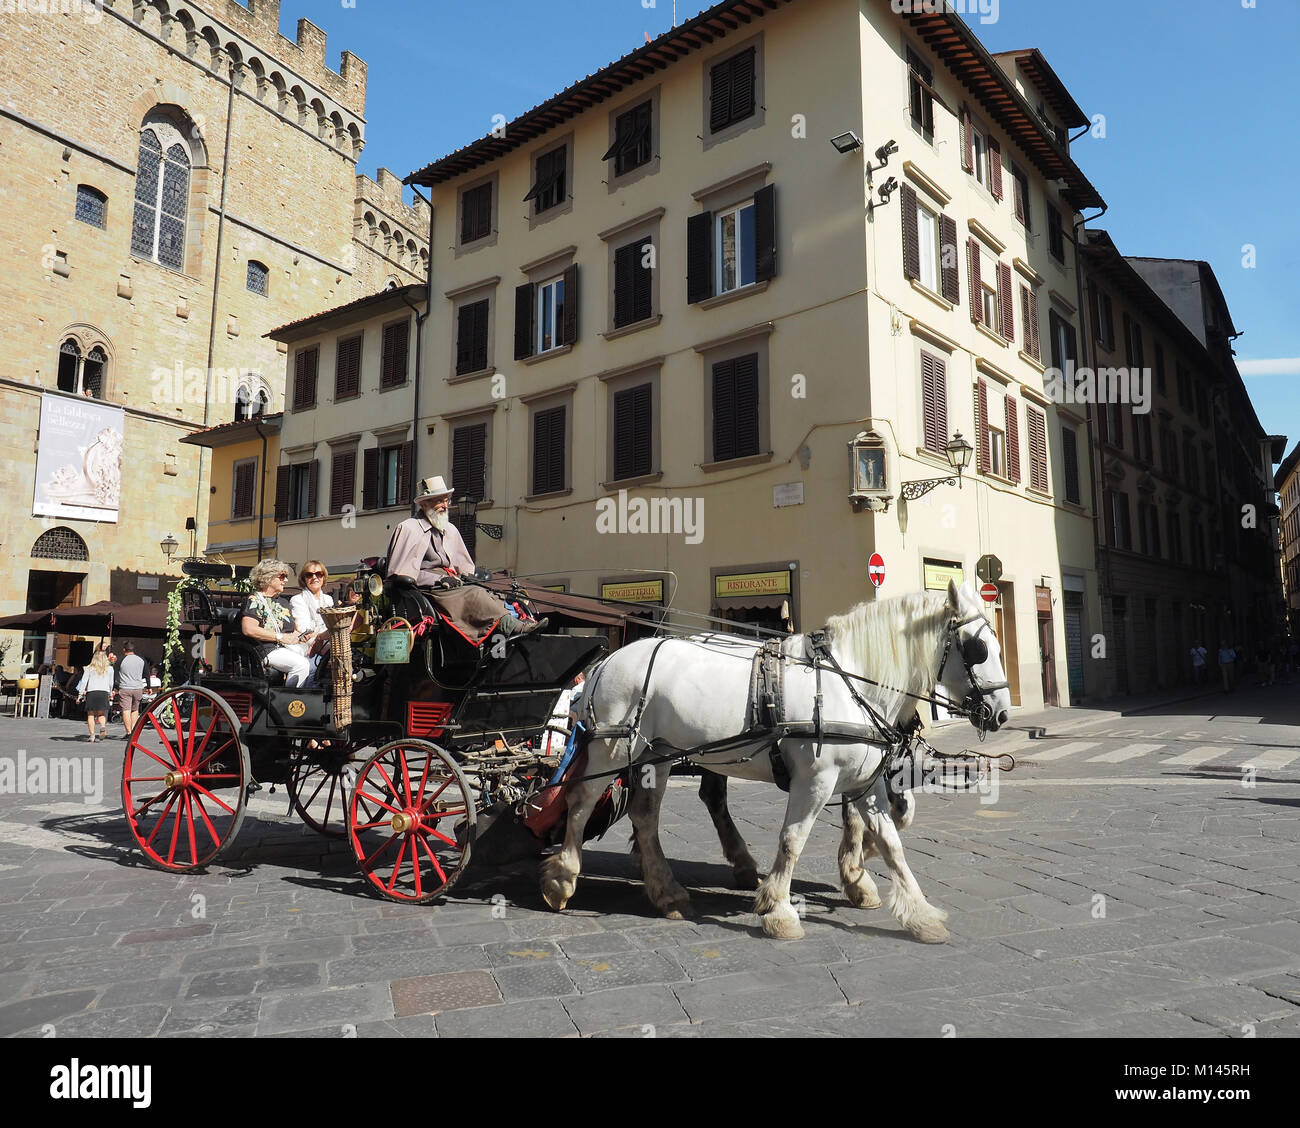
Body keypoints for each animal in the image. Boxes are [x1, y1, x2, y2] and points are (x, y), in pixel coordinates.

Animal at [540, 582, 1013, 940]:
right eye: (977, 648)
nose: (1002, 713)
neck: (850, 683)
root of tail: (606, 661)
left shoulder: (866, 783)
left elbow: (892, 843)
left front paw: (919, 913)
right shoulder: (816, 780)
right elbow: (793, 840)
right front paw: (778, 908)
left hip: (657, 753)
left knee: (645, 815)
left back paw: (667, 891)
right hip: (612, 749)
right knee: (581, 802)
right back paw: (563, 878)